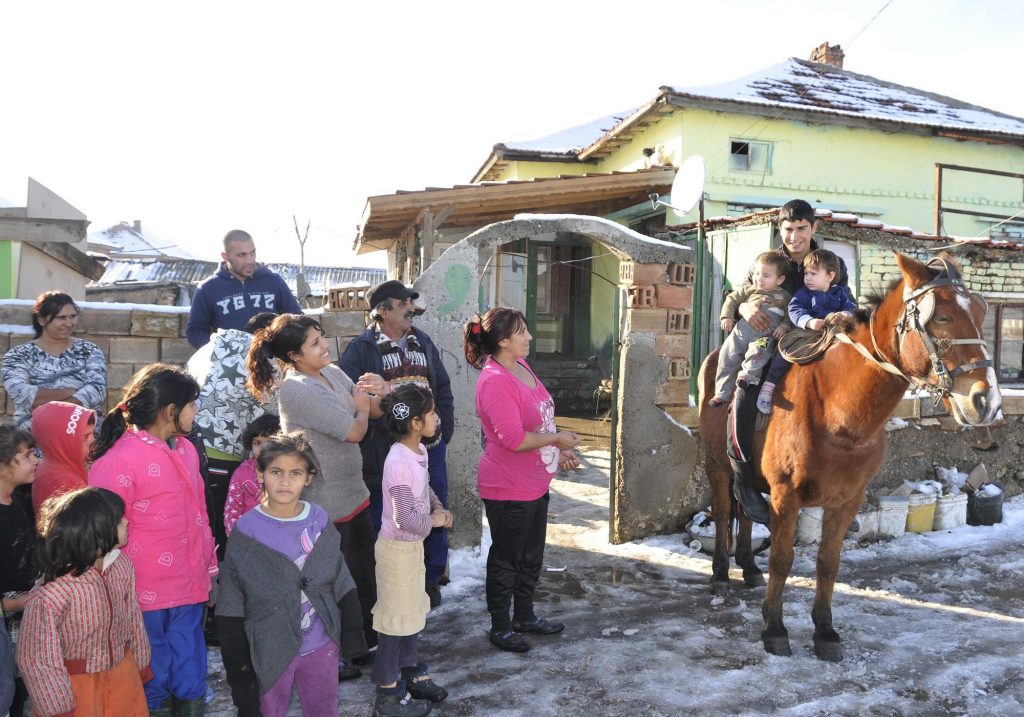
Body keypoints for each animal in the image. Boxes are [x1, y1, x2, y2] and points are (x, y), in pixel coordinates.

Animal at [696, 251, 999, 659]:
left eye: (981, 314)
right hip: (717, 465)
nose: (986, 400)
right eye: (942, 317)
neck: (837, 412)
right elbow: (781, 559)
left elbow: (828, 563)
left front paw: (824, 631)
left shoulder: (846, 499)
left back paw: (747, 567)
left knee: (744, 510)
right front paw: (774, 628)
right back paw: (720, 573)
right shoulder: (786, 496)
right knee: (725, 509)